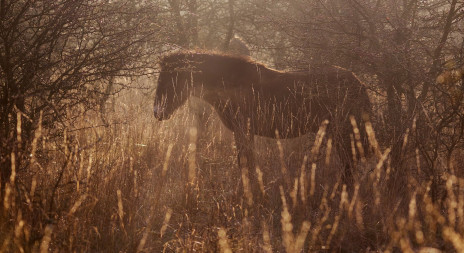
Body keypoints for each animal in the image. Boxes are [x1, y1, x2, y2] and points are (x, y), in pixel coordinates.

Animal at [154, 52, 372, 188]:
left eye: (169, 80)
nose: (157, 112)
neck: (230, 84)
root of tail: (359, 83)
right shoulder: (245, 132)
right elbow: (247, 163)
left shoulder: (243, 130)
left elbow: (245, 163)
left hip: (343, 131)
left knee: (349, 164)